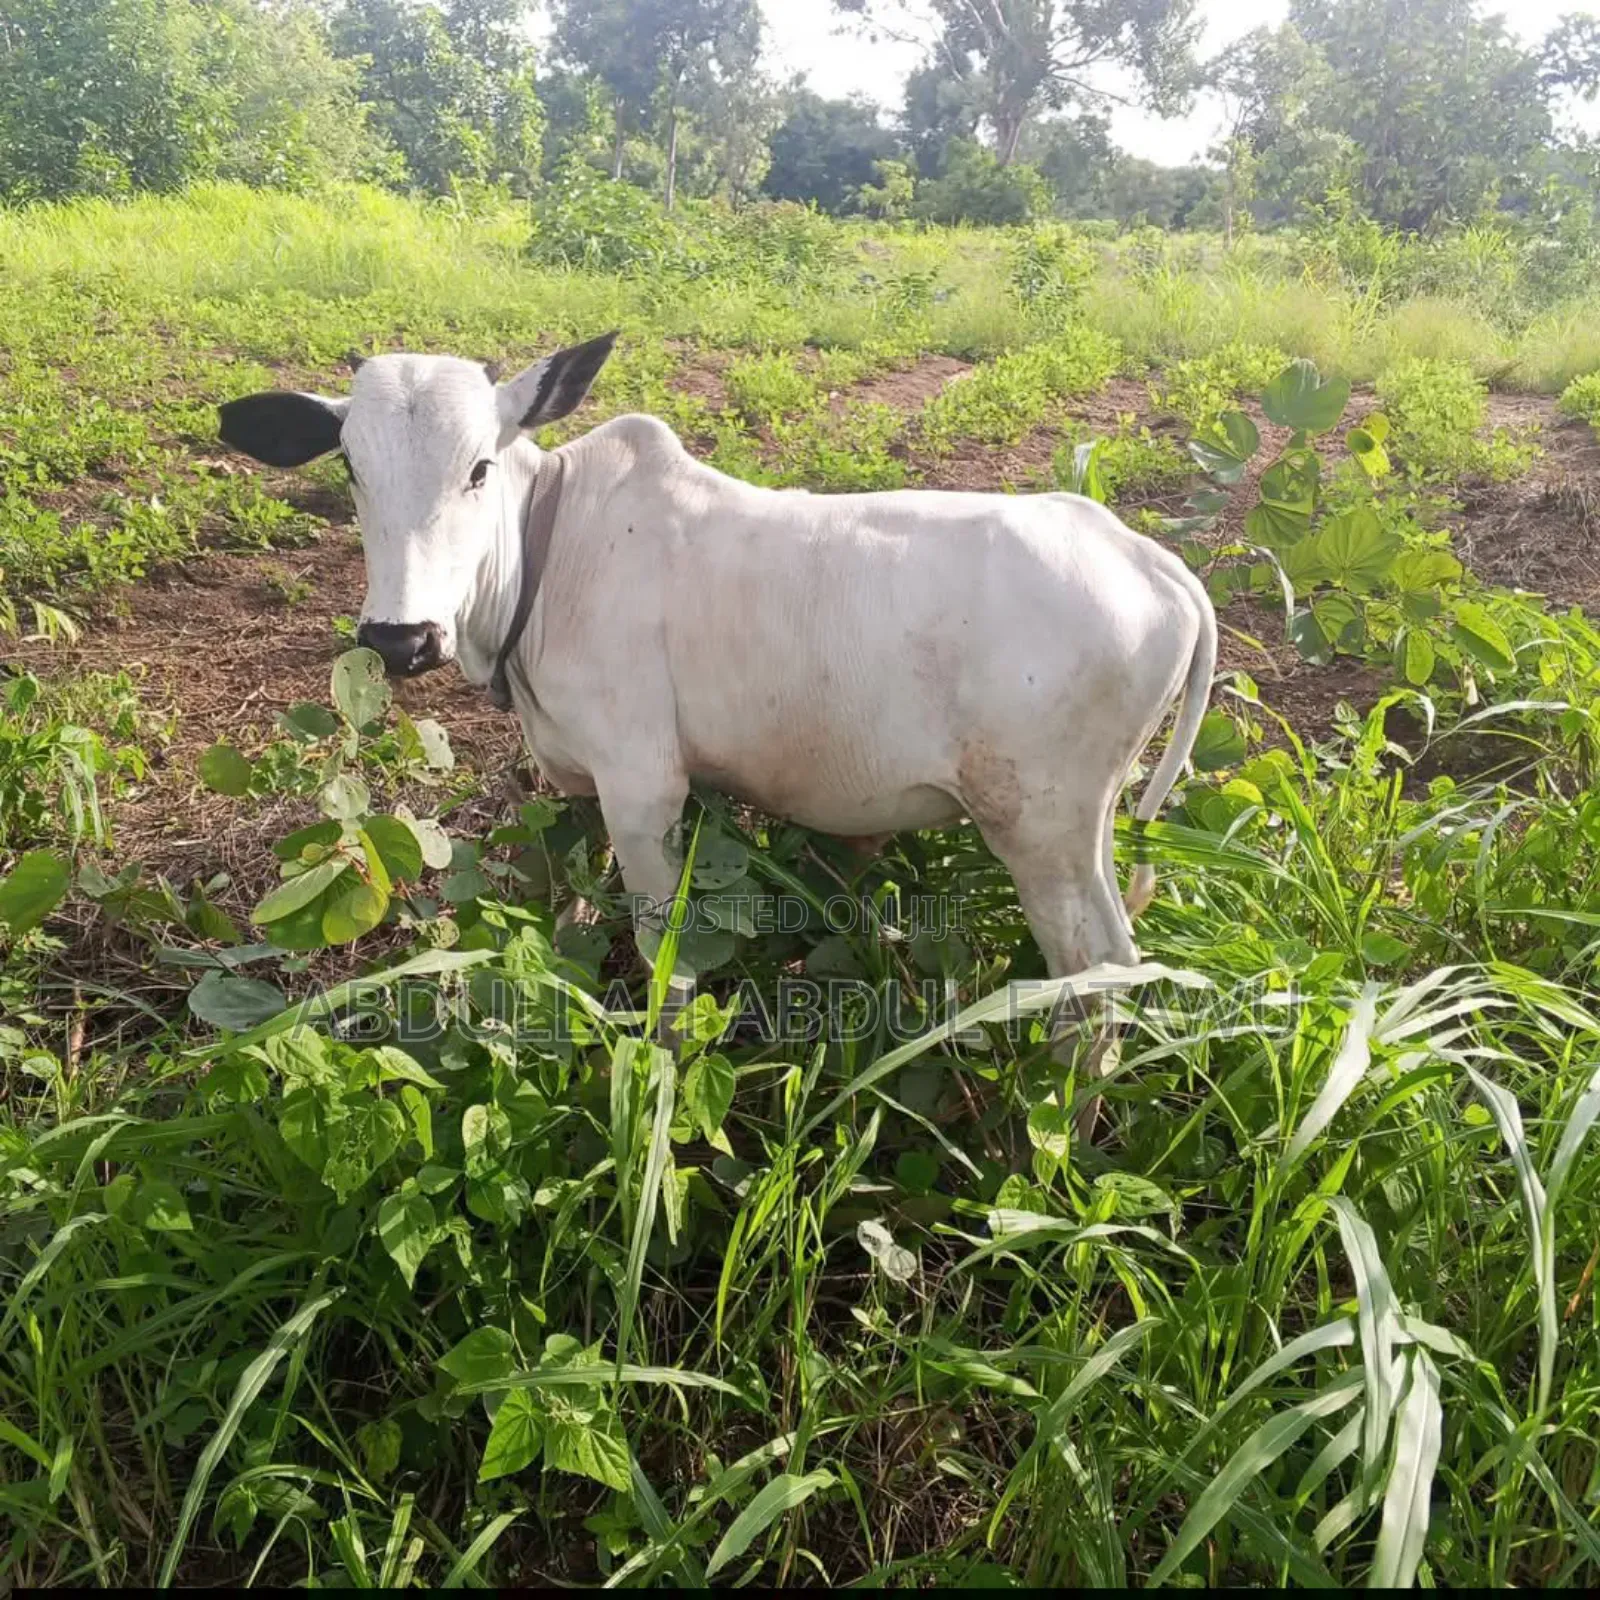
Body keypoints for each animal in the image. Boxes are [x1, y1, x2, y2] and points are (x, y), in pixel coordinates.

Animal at [217, 334, 1217, 1116]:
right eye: (351, 468)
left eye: (478, 467)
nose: (401, 637)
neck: (548, 555)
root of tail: (1153, 563)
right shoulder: (579, 785)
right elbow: (576, 909)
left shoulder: (642, 786)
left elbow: (664, 957)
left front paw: (655, 1069)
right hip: (1077, 828)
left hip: (1041, 828)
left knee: (1099, 975)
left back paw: (1057, 1128)